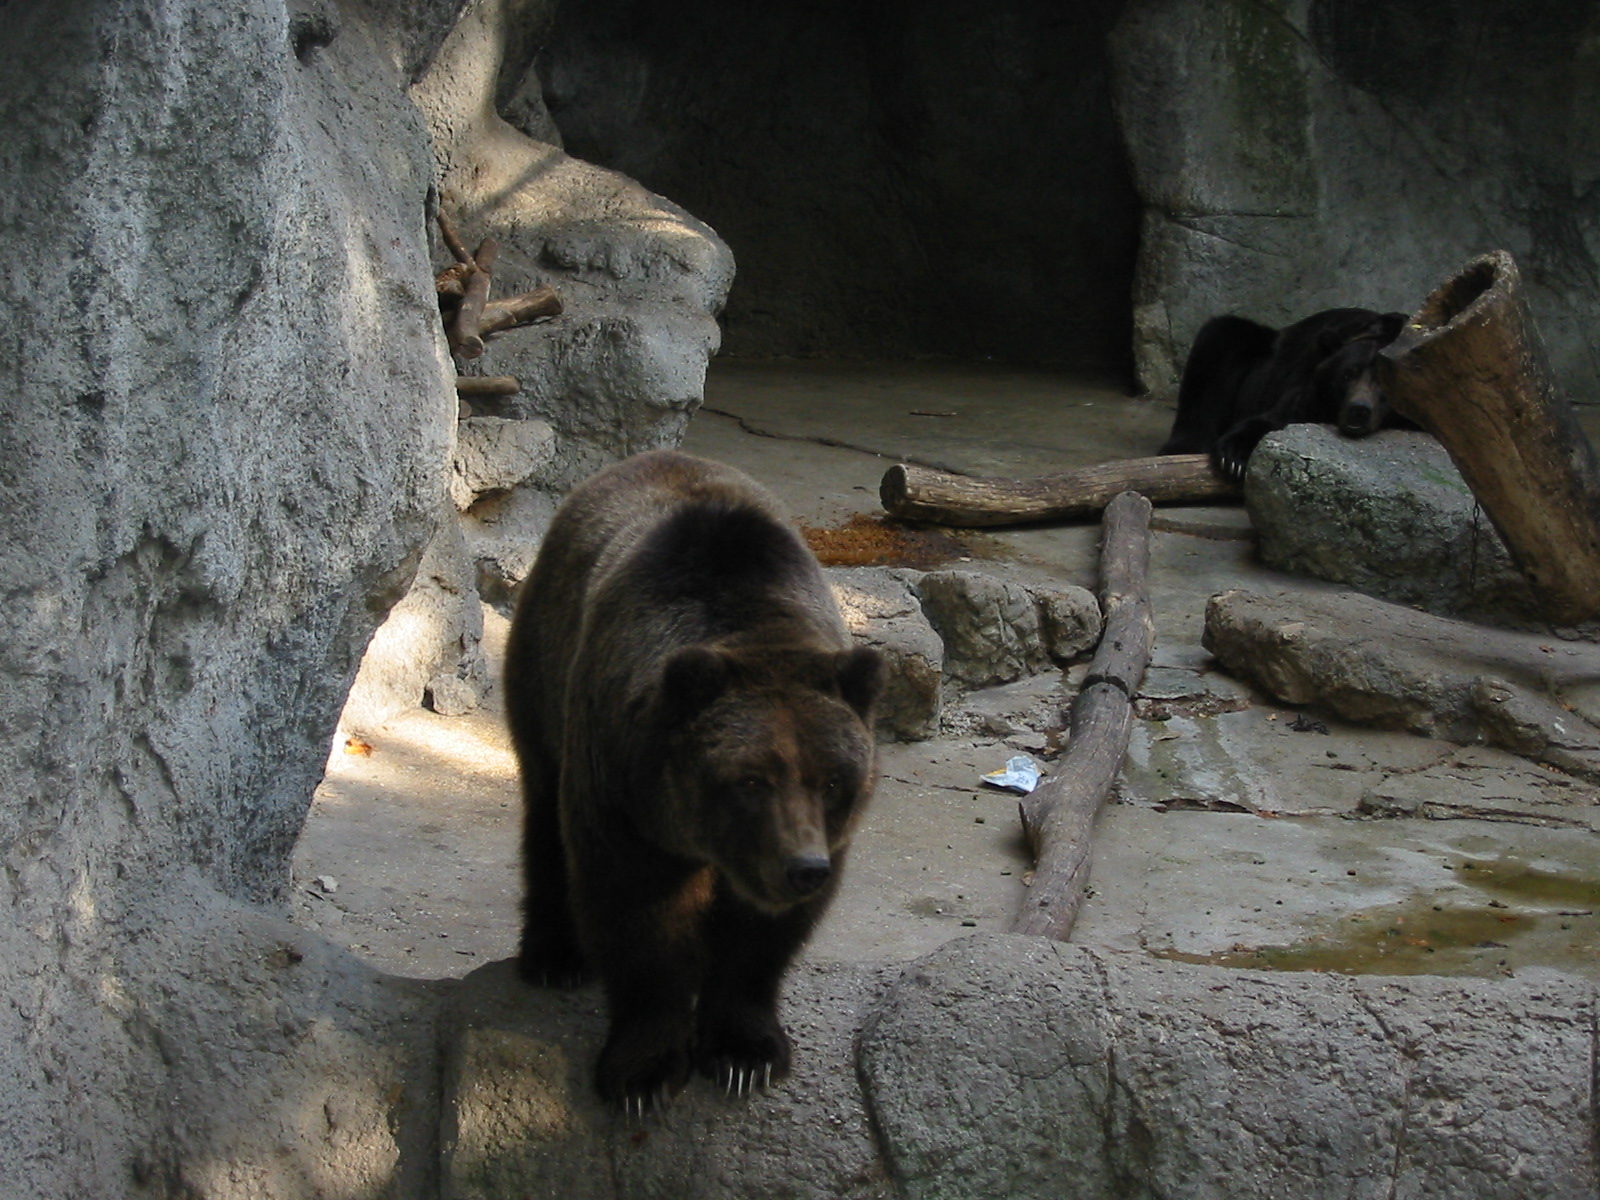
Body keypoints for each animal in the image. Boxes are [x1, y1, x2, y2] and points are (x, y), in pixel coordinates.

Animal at [502, 449, 885, 1114]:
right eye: (752, 780)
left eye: (833, 780)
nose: (803, 868)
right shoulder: (621, 786)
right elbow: (637, 912)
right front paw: (644, 1071)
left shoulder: (822, 837)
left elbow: (761, 936)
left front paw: (744, 1053)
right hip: (543, 665)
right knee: (544, 811)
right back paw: (553, 955)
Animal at [1160, 307, 1412, 482]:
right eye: (1347, 375)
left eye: (1385, 387)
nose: (1359, 410)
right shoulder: (1303, 389)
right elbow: (1272, 420)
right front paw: (1233, 459)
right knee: (1219, 341)